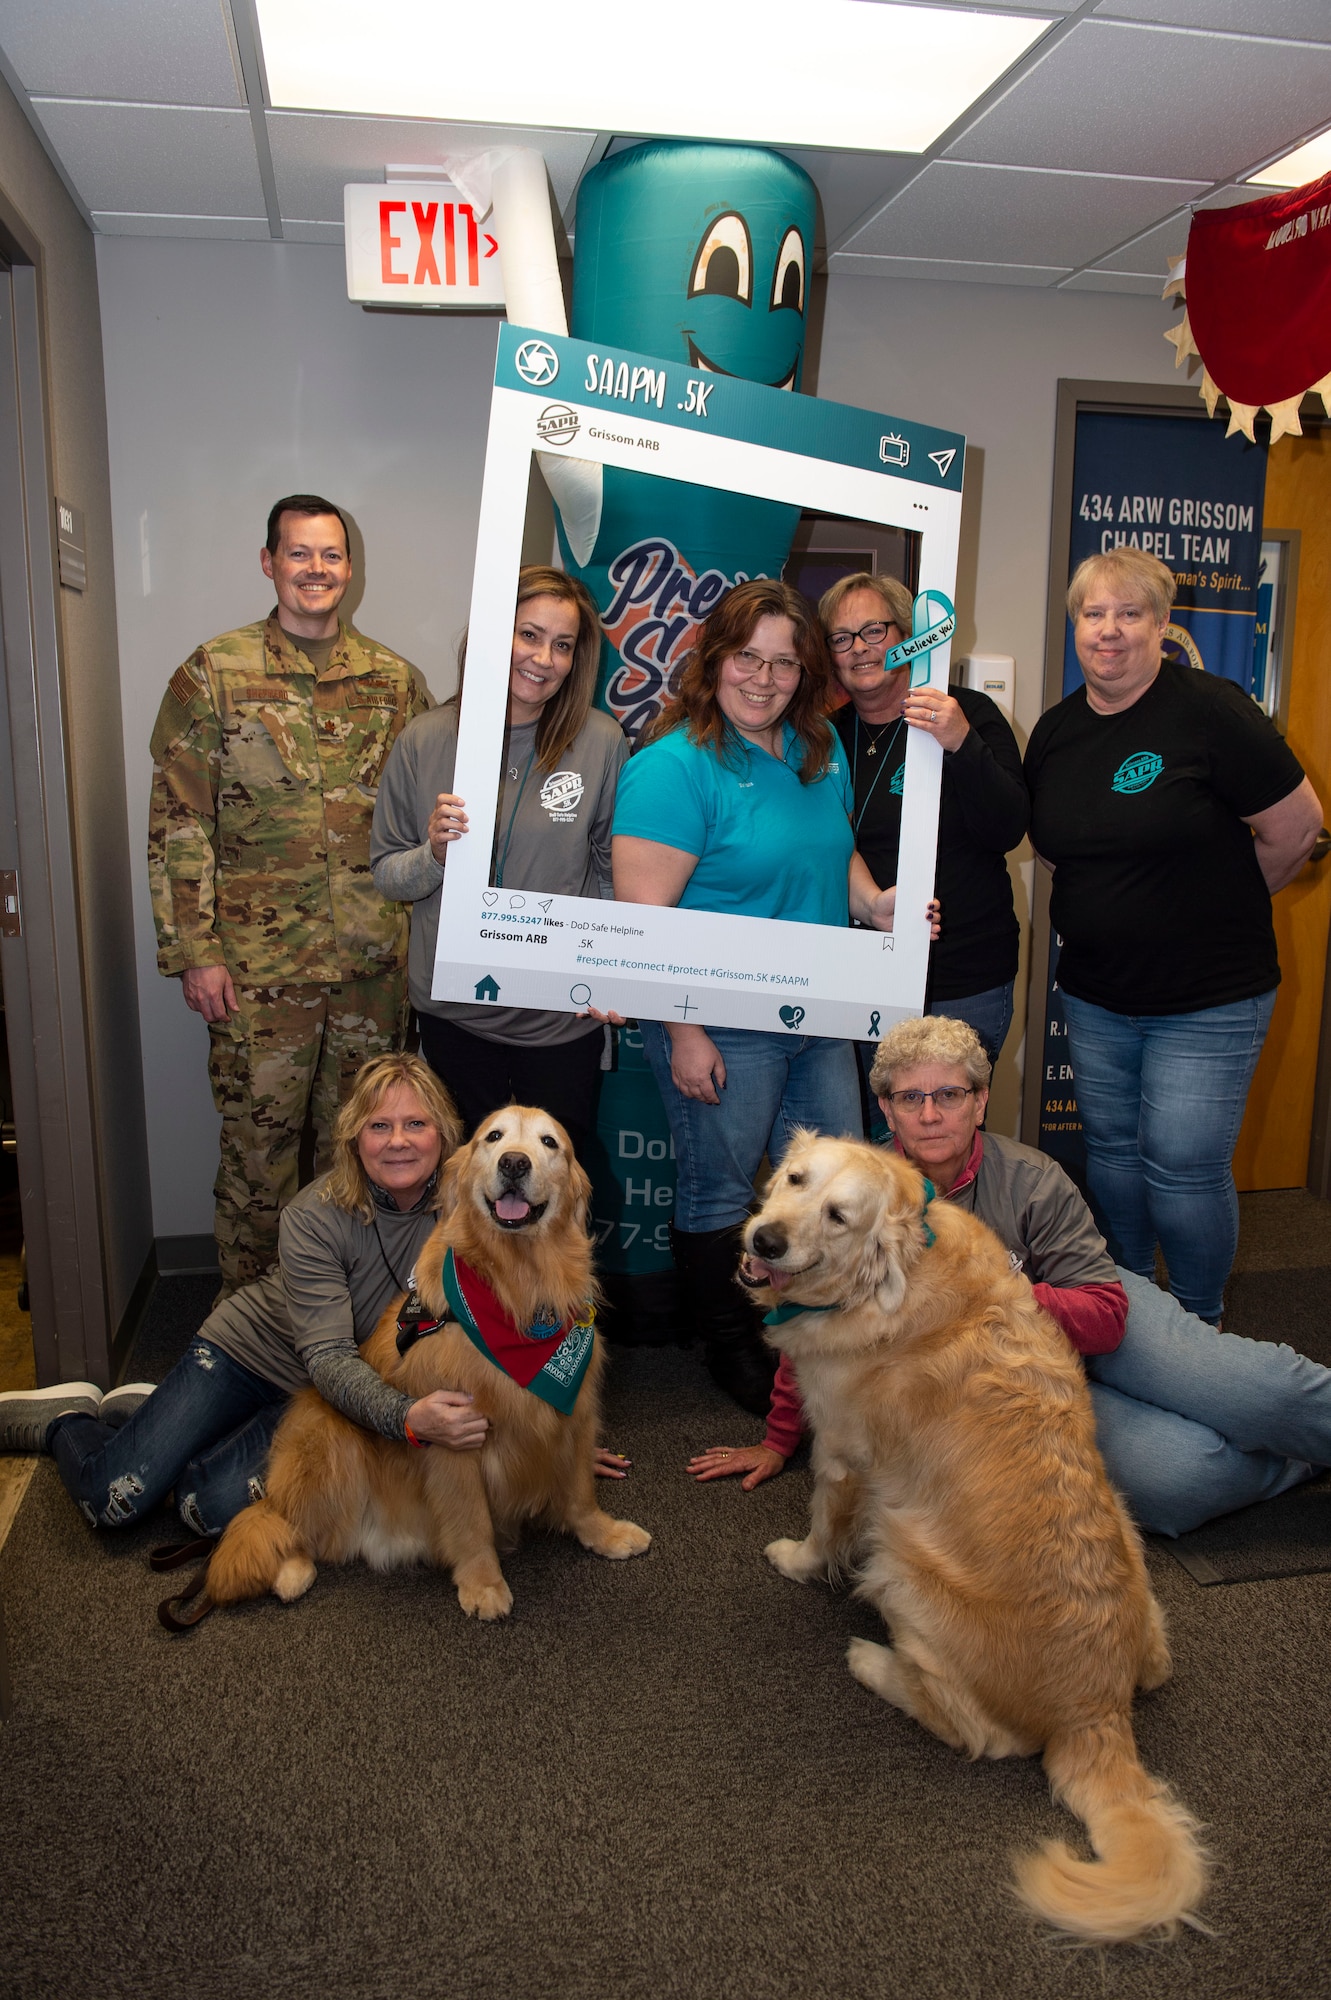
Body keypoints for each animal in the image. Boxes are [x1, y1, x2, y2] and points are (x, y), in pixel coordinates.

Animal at [184, 1112, 647, 1624]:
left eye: (549, 1142)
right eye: (494, 1137)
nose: (513, 1163)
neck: (518, 1286)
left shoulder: (575, 1411)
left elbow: (581, 1491)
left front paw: (604, 1533)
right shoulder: (454, 1436)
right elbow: (470, 1520)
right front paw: (483, 1584)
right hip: (327, 1434)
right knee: (283, 1522)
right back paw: (291, 1572)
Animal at [735, 1136, 1199, 1944]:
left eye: (838, 1215)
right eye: (793, 1180)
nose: (766, 1240)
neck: (898, 1270)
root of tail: (1097, 1713)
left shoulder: (841, 1452)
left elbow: (823, 1522)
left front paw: (797, 1560)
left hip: (899, 1560)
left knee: (978, 1734)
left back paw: (871, 1660)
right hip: (1132, 1543)